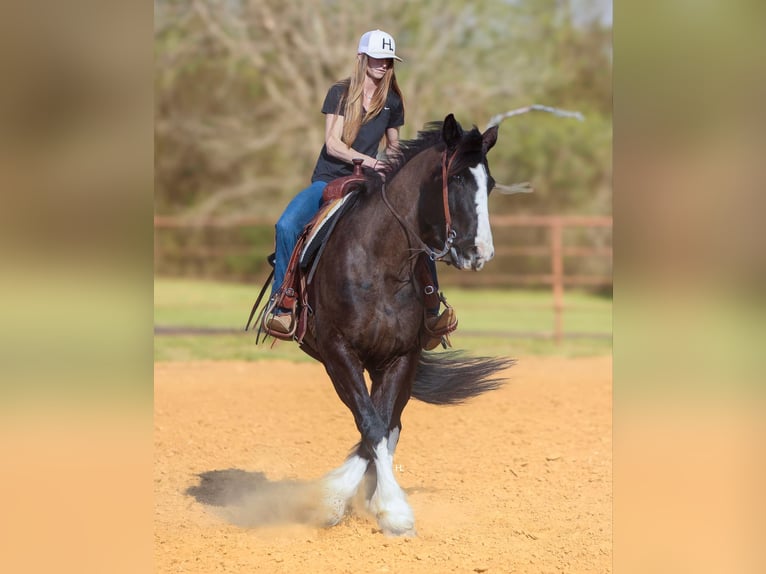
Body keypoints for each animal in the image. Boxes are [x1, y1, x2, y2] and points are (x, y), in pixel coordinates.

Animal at [257, 114, 513, 536]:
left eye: (489, 184)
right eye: (457, 178)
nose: (480, 252)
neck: (381, 262)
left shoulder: (402, 356)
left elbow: (381, 425)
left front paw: (366, 502)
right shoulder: (338, 352)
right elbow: (370, 424)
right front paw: (382, 507)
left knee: (391, 423)